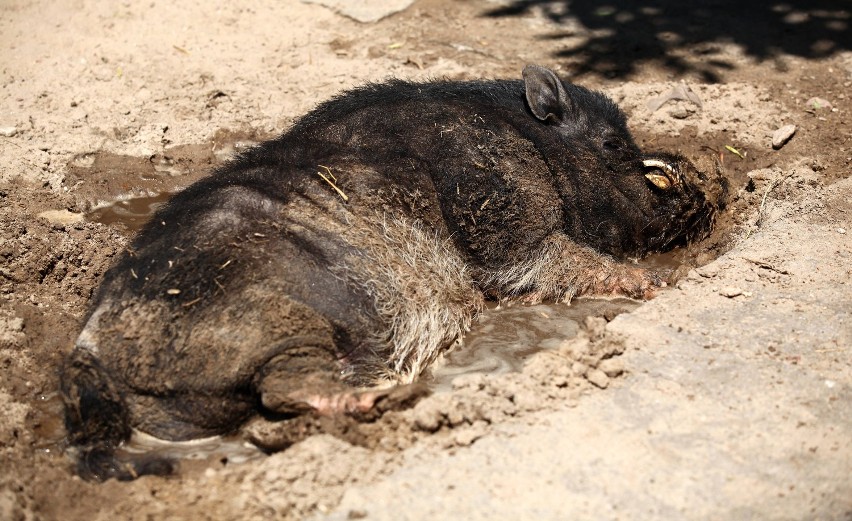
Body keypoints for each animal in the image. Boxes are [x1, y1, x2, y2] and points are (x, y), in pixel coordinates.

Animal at [60, 65, 724, 480]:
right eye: (613, 147)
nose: (704, 188)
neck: (530, 139)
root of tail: (88, 353)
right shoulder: (501, 212)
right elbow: (553, 259)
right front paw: (655, 286)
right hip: (275, 322)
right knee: (287, 386)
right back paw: (391, 396)